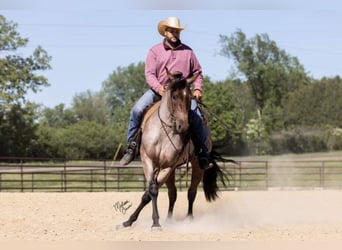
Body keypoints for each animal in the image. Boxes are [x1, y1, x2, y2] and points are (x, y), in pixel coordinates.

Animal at [116, 70, 228, 230]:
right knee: (172, 193)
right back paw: (169, 219)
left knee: (191, 192)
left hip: (195, 166)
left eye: (189, 97)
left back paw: (189, 219)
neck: (164, 130)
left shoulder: (167, 166)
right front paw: (130, 221)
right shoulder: (148, 160)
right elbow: (152, 191)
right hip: (173, 169)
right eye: (174, 96)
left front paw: (155, 223)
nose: (184, 126)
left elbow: (150, 193)